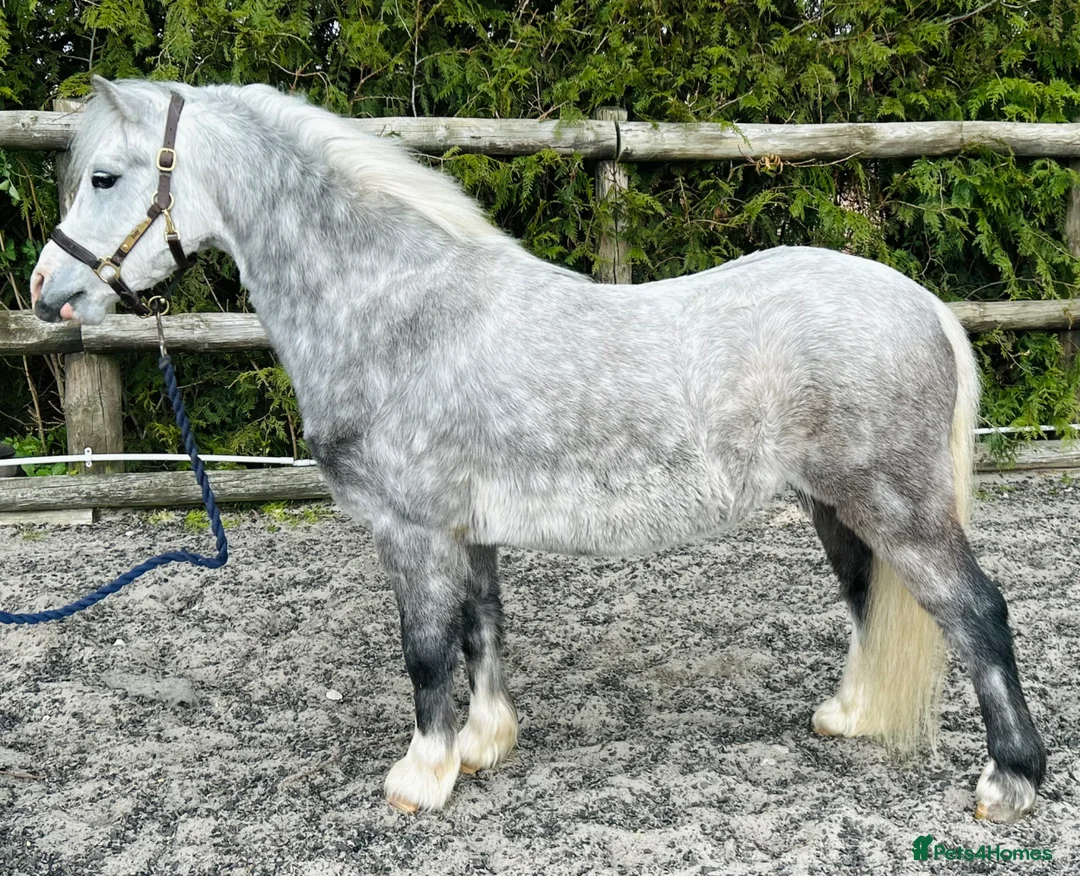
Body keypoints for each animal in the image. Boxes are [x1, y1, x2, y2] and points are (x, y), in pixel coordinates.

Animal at [30, 77, 1046, 822]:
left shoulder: (412, 530)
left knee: (976, 614)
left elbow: (426, 653)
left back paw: (1009, 784)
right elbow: (483, 632)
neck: (397, 309)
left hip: (899, 509)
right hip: (839, 509)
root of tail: (923, 306)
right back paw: (851, 718)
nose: (47, 292)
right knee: (874, 600)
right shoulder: (468, 527)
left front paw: (421, 778)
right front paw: (483, 747)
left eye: (106, 178)